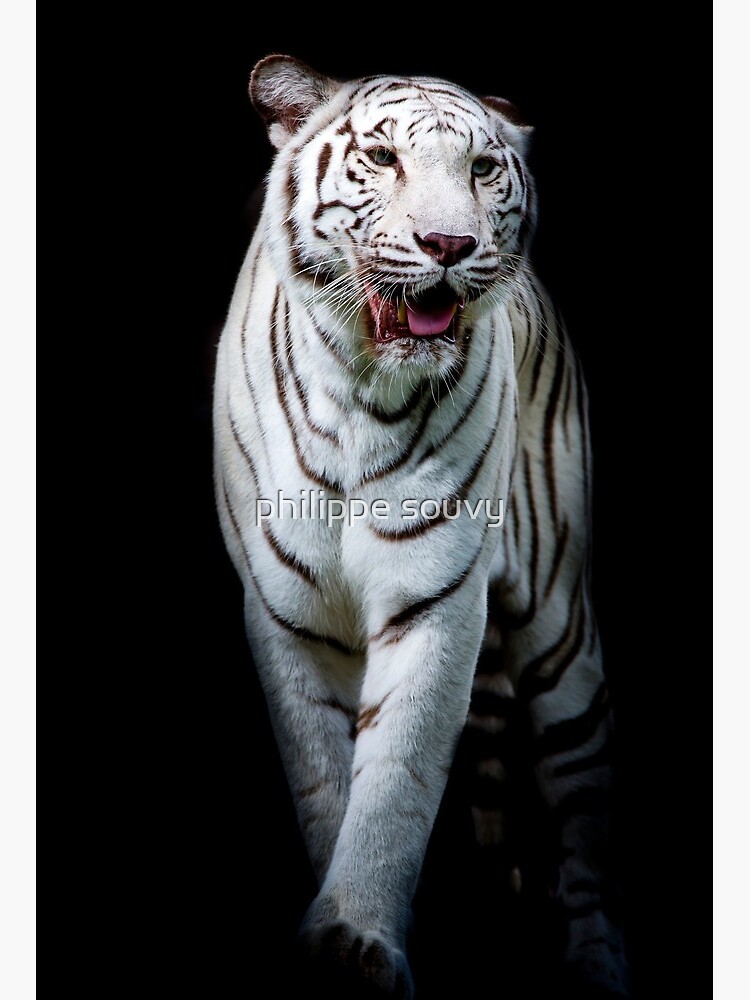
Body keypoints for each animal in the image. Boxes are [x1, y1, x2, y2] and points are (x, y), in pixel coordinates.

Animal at [214, 56, 632, 1000]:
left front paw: (359, 940)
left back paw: (596, 964)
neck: (360, 392)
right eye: (381, 157)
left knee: (585, 813)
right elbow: (326, 781)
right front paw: (341, 940)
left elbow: (397, 778)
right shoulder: (287, 613)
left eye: (482, 169)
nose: (449, 245)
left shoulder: (435, 598)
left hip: (560, 631)